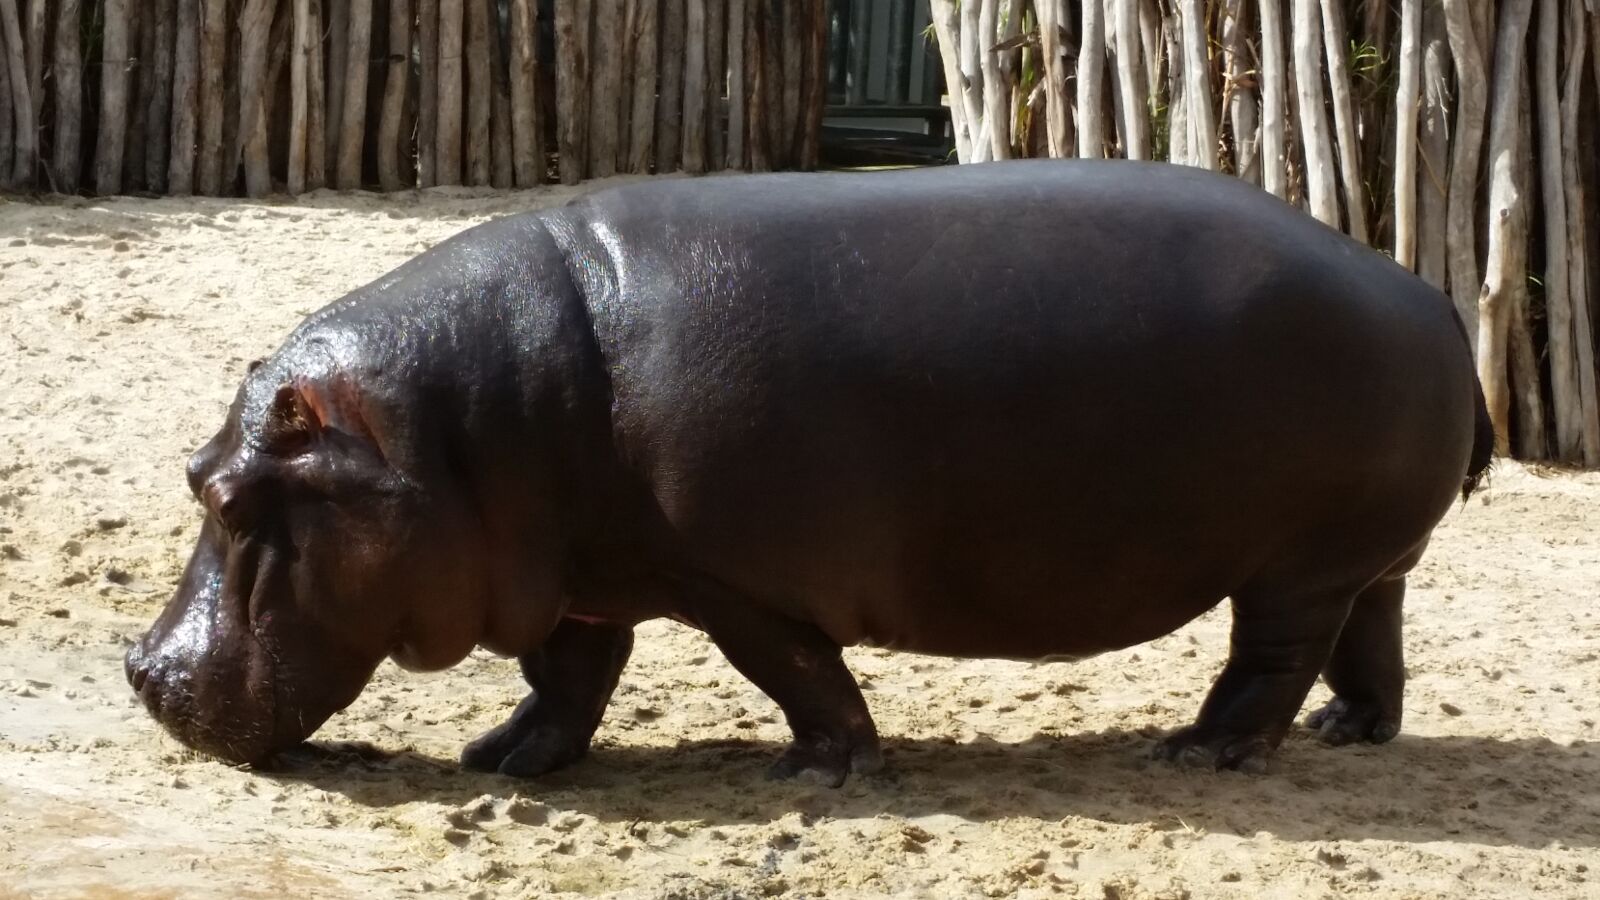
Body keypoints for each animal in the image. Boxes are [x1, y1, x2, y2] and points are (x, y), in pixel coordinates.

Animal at [125, 160, 1492, 784]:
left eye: (231, 500)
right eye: (193, 470)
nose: (139, 670)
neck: (445, 431)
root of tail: (1421, 287)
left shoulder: (734, 583)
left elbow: (791, 671)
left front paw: (829, 771)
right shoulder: (580, 574)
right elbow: (567, 675)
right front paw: (502, 757)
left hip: (1293, 565)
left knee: (1268, 659)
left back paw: (1196, 752)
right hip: (1364, 557)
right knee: (1370, 634)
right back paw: (1353, 731)